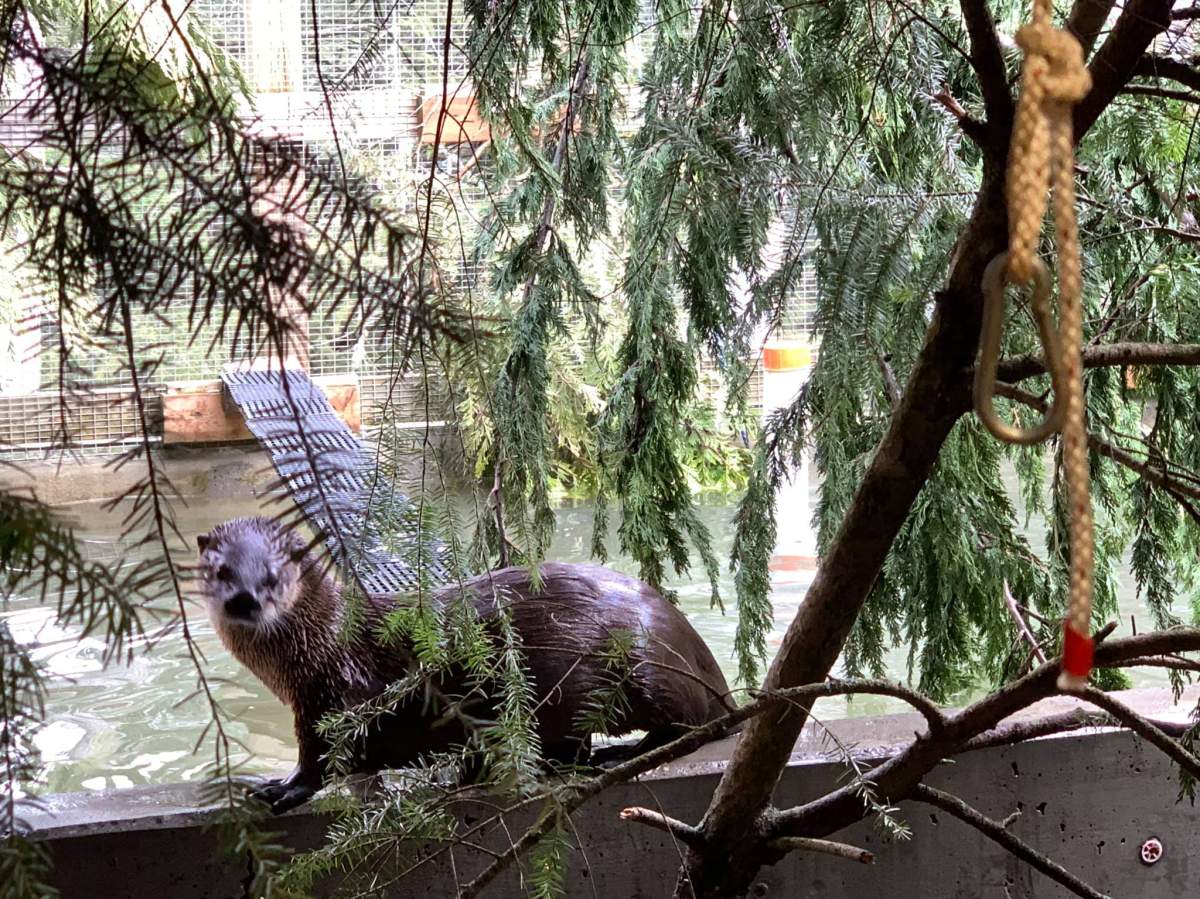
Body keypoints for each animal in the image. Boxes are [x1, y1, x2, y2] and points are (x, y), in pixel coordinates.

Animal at [196, 516, 734, 813]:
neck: (323, 640)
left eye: (274, 573)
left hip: (644, 667)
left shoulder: (337, 693)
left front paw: (283, 789)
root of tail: (700, 654)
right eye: (220, 570)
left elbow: (326, 755)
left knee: (691, 724)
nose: (243, 599)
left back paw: (618, 755)